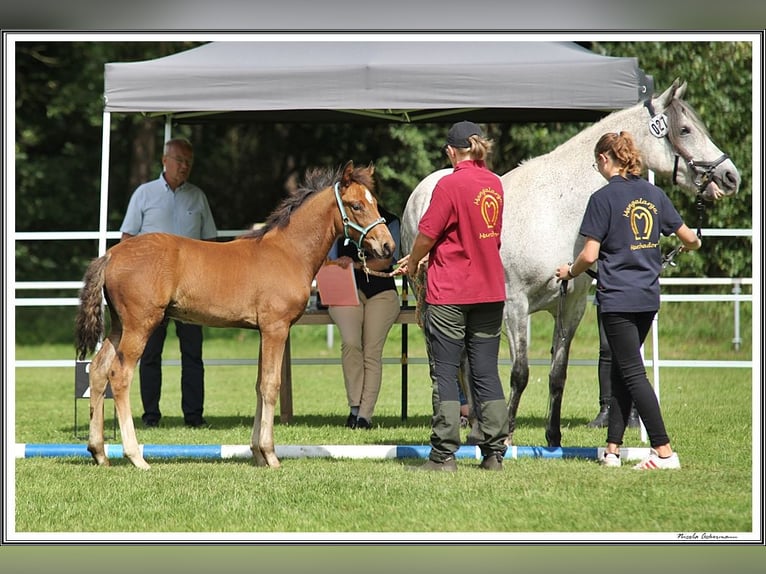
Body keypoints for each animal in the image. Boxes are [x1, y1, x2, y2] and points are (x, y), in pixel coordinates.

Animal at [76, 161, 396, 468]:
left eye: (375, 203)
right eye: (356, 205)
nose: (387, 245)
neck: (288, 252)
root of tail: (111, 255)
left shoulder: (263, 330)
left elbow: (259, 385)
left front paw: (257, 452)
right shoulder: (276, 328)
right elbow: (271, 385)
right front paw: (270, 455)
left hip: (119, 326)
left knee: (99, 370)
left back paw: (99, 452)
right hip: (140, 325)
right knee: (119, 375)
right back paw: (136, 456)